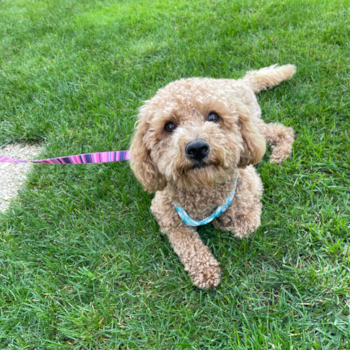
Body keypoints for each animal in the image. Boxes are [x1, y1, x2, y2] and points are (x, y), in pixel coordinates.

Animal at [130, 64, 296, 288]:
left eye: (213, 117)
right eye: (169, 126)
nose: (197, 148)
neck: (204, 187)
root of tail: (239, 82)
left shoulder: (251, 182)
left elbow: (247, 221)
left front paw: (228, 222)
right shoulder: (164, 211)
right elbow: (186, 242)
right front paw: (205, 270)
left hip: (255, 124)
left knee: (283, 130)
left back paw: (281, 154)